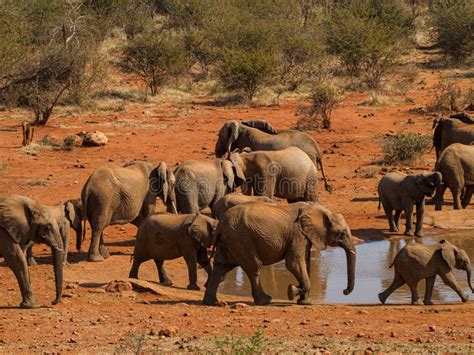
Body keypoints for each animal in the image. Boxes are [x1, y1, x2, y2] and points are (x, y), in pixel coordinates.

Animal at [204, 202, 356, 308]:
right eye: (342, 233)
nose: (344, 291)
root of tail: (221, 223)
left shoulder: (305, 237)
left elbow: (305, 263)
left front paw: (305, 302)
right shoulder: (298, 234)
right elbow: (293, 262)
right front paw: (292, 292)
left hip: (229, 240)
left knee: (220, 266)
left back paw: (212, 302)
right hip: (241, 239)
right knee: (254, 268)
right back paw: (265, 300)